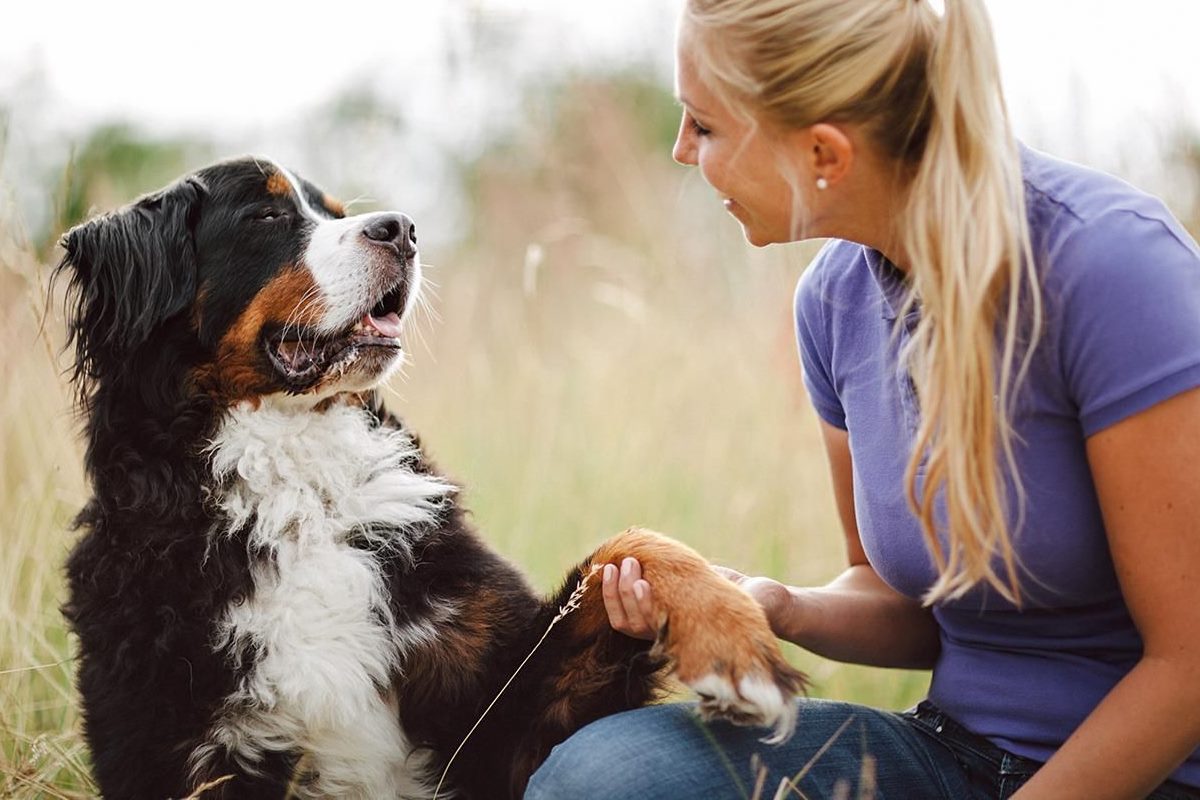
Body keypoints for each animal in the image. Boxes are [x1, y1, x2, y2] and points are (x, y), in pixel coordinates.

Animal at [56, 158, 806, 800]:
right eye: (264, 215)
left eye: (334, 212)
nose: (401, 228)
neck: (298, 490)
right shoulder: (168, 744)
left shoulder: (504, 714)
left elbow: (635, 546)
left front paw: (736, 650)